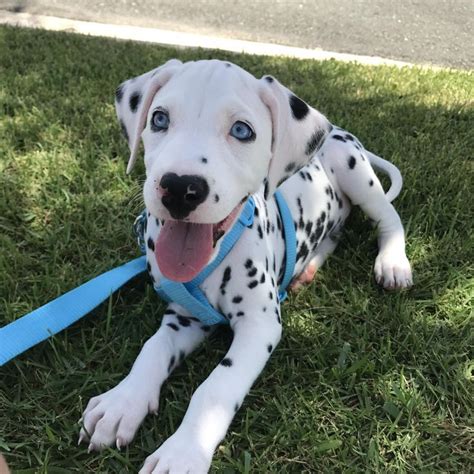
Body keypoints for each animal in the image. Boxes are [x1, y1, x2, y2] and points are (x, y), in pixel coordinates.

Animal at [78, 58, 412, 470]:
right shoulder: (186, 317)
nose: (179, 188)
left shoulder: (259, 325)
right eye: (159, 119)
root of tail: (339, 131)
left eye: (241, 130)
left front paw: (181, 453)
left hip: (355, 172)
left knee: (388, 217)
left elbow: (213, 390)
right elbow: (151, 350)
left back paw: (393, 262)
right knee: (335, 233)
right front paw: (121, 403)